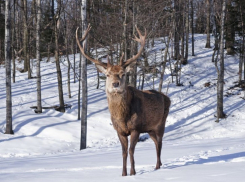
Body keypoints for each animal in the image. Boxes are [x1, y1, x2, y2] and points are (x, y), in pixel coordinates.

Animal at [76, 24, 170, 176]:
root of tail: (167, 97)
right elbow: (124, 152)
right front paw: (123, 173)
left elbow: (131, 150)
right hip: (149, 128)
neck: (121, 117)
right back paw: (159, 165)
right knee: (156, 142)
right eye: (108, 74)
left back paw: (157, 166)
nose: (116, 84)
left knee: (160, 143)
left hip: (161, 122)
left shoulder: (136, 127)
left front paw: (133, 172)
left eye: (123, 74)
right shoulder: (119, 131)